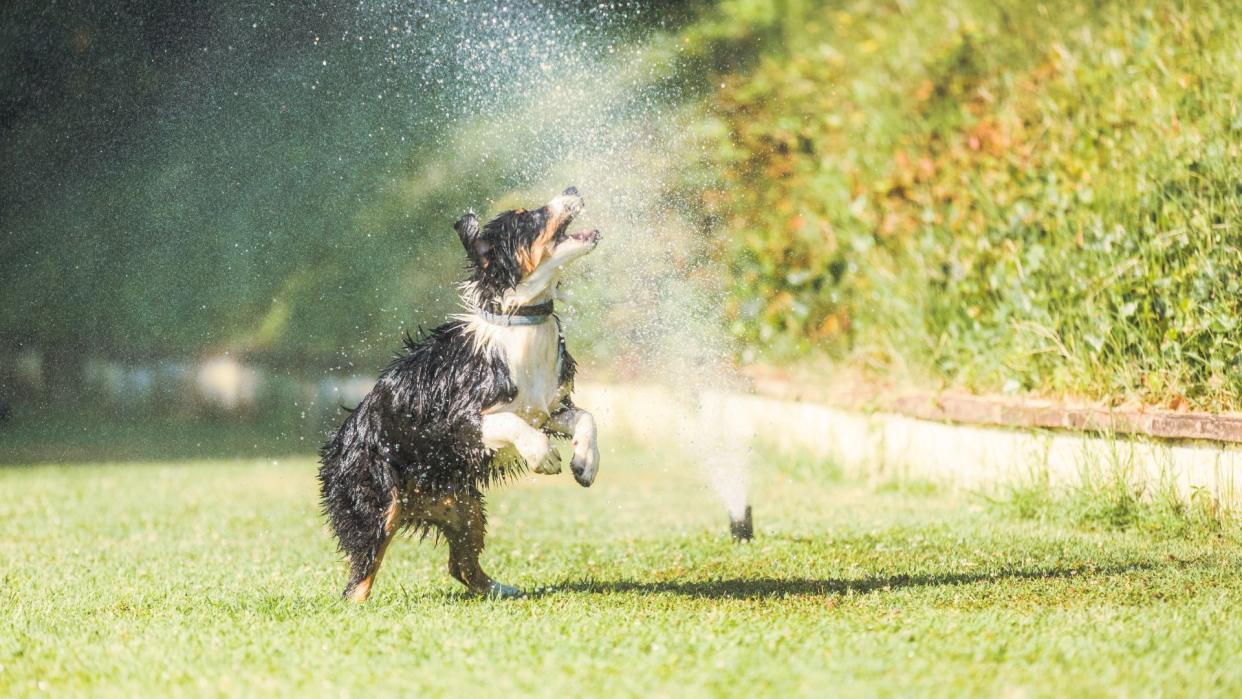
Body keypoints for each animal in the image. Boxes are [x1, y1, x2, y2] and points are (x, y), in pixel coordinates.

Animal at [320, 186, 601, 600]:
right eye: (528, 217)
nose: (572, 189)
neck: (520, 324)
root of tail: (336, 442)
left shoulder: (546, 407)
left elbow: (586, 417)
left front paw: (585, 462)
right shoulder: (453, 421)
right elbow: (510, 423)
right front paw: (543, 455)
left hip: (464, 508)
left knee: (461, 565)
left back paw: (503, 590)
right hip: (375, 508)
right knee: (358, 580)